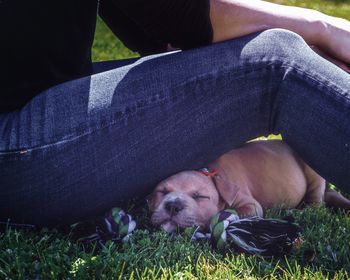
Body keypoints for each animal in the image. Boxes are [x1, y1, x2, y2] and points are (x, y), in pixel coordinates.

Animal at [148, 139, 350, 233]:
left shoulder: (250, 205)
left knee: (316, 203)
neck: (211, 172)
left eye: (200, 197)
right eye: (162, 191)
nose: (173, 206)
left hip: (312, 171)